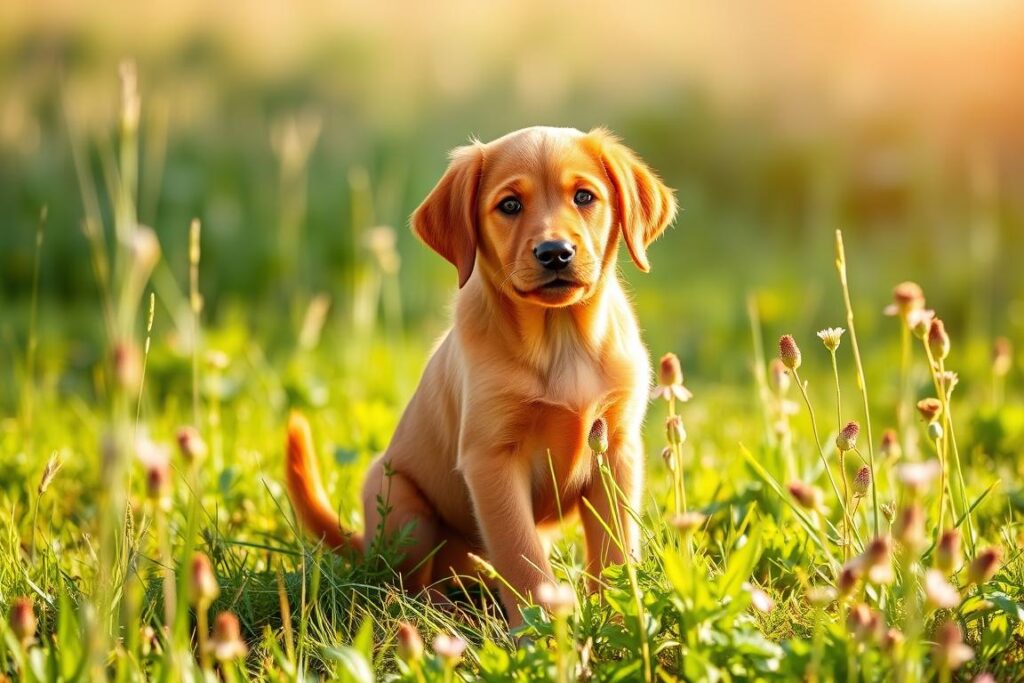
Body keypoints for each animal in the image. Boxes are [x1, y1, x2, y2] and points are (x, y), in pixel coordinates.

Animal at [284, 124, 675, 626]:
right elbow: (522, 558)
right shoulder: (490, 460)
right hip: (401, 505)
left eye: (584, 196)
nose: (555, 253)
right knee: (406, 585)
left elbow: (614, 550)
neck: (561, 339)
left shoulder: (616, 449)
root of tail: (367, 546)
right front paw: (541, 630)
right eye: (509, 205)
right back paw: (444, 614)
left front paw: (619, 621)